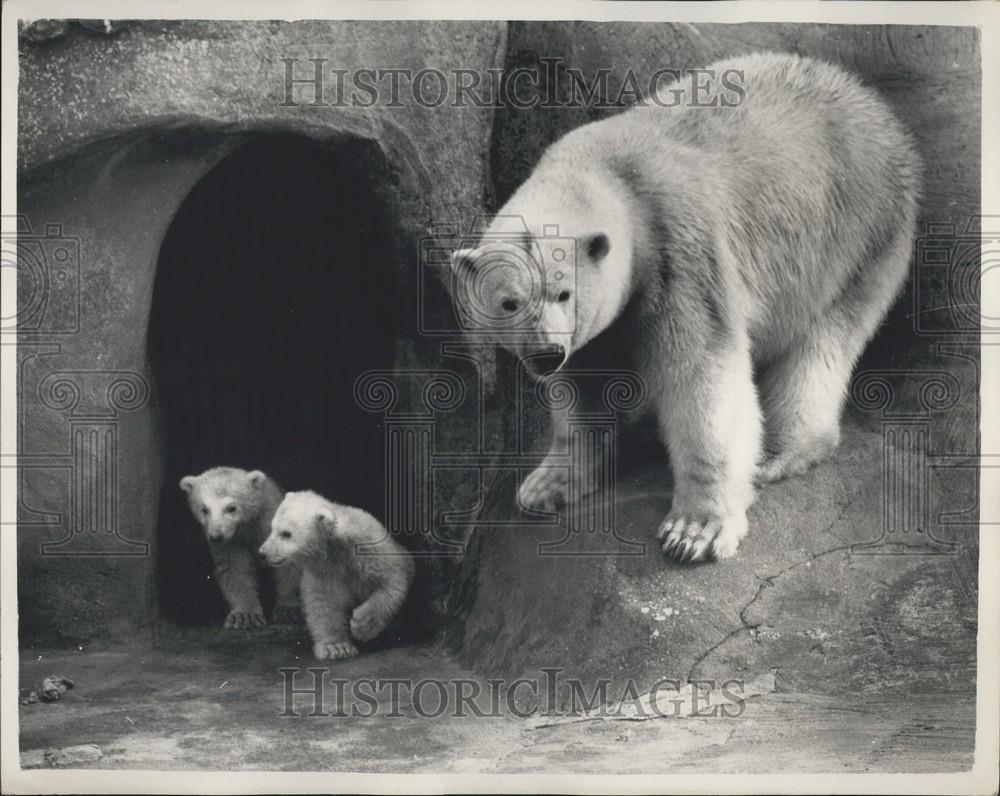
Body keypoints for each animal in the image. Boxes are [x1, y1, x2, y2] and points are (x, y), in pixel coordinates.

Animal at [450, 52, 916, 564]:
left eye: (562, 292)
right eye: (509, 301)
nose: (544, 355)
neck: (612, 178)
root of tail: (874, 105)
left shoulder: (681, 254)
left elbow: (701, 378)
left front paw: (696, 529)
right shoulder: (591, 330)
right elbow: (583, 383)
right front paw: (545, 484)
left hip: (859, 228)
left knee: (823, 339)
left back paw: (782, 452)